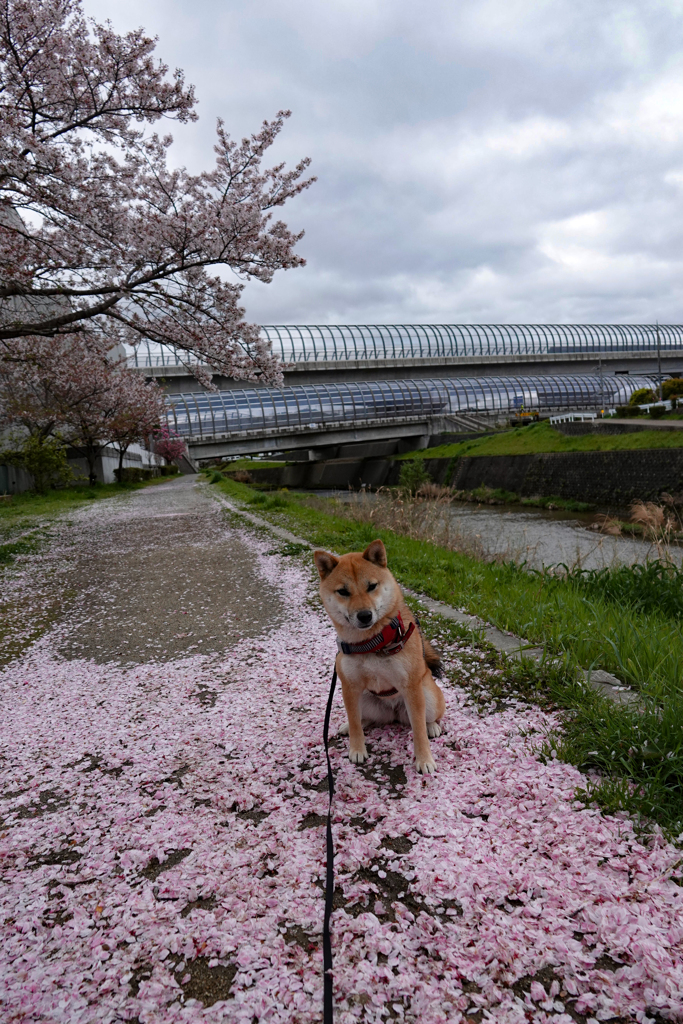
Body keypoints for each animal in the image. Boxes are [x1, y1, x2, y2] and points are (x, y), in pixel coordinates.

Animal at [313, 540, 446, 770]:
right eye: (343, 591)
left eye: (371, 586)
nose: (365, 615)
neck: (371, 642)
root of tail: (394, 713)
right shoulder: (349, 687)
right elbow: (355, 722)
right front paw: (357, 748)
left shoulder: (411, 687)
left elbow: (418, 730)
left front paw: (424, 759)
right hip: (364, 699)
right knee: (364, 718)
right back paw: (351, 725)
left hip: (427, 695)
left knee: (425, 719)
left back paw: (432, 727)